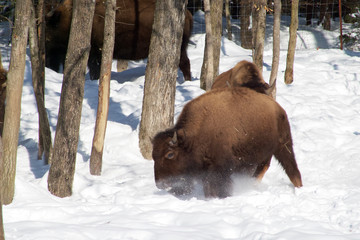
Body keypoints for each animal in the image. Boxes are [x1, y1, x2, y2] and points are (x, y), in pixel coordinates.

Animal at [45, 0, 194, 80]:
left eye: (49, 31)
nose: (47, 59)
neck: (67, 19)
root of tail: (188, 14)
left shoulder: (96, 53)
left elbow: (95, 70)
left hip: (181, 48)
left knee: (185, 63)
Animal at [150, 87, 302, 198]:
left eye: (170, 154)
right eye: (153, 156)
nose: (160, 184)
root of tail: (278, 108)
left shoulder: (221, 168)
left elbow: (219, 185)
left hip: (283, 146)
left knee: (292, 169)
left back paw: (299, 187)